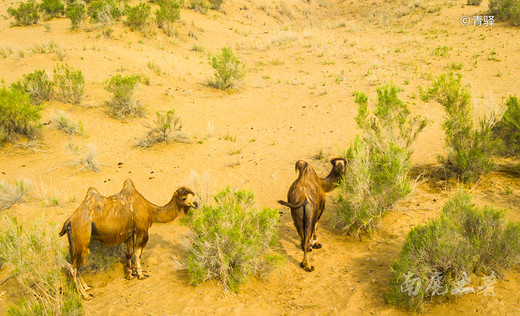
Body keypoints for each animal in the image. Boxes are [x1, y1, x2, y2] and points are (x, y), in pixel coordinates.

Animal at [59, 179, 197, 300]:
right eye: (183, 198)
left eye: (193, 194)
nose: (196, 204)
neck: (151, 210)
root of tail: (69, 221)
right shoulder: (141, 230)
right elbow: (137, 252)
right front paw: (141, 275)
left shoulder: (130, 233)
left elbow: (129, 253)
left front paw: (130, 275)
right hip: (82, 238)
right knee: (74, 268)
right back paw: (85, 295)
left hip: (74, 243)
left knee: (74, 264)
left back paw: (87, 287)